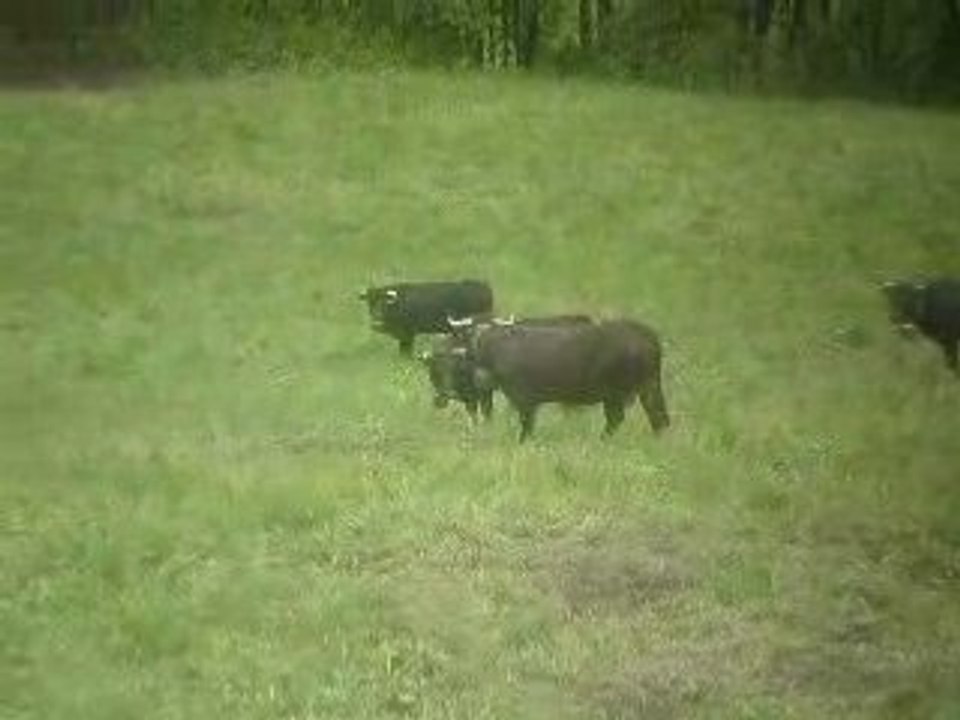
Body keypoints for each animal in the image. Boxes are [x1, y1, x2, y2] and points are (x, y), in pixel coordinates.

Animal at [433, 317, 669, 442]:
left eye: (457, 337)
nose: (434, 352)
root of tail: (649, 338)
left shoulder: (525, 401)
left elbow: (526, 429)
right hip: (649, 388)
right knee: (659, 418)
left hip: (618, 394)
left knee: (620, 419)